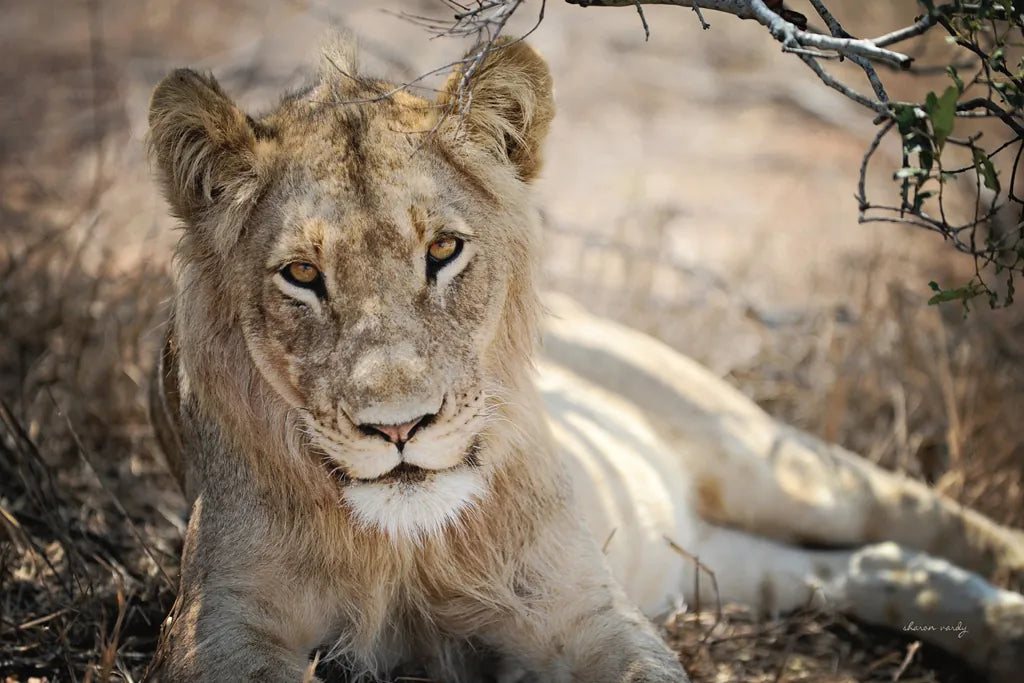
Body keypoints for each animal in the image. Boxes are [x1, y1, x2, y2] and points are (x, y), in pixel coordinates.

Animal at [144, 38, 1024, 682]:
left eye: (443, 251)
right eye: (301, 274)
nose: (399, 428)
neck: (406, 545)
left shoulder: (583, 613)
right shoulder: (220, 626)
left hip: (768, 462)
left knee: (911, 513)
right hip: (701, 558)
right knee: (869, 561)